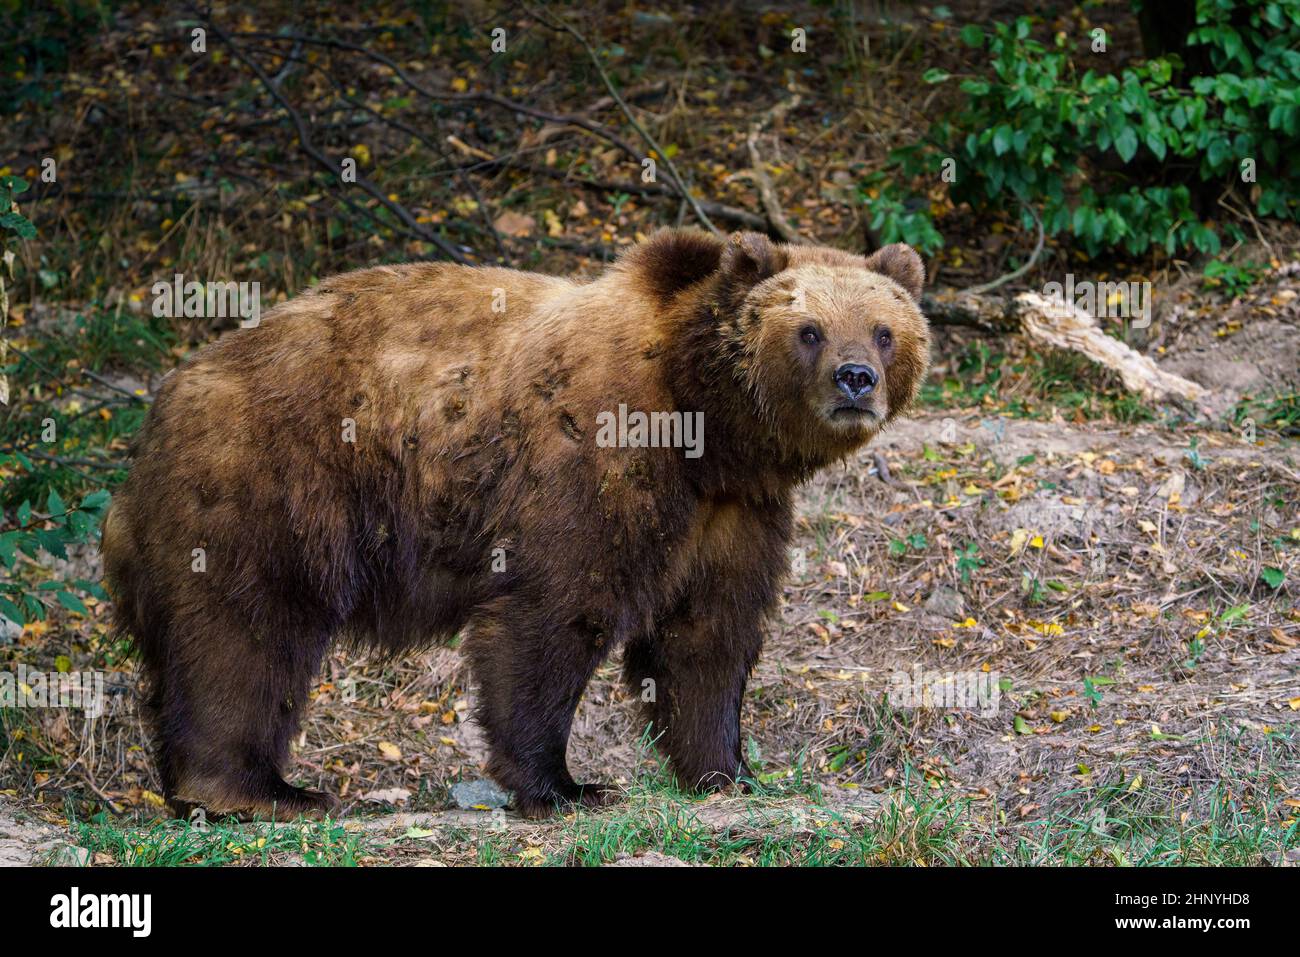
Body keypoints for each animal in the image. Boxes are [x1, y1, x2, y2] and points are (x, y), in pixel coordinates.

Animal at [104, 227, 935, 816]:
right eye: (810, 329)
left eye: (883, 328)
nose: (856, 379)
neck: (708, 423)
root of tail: (165, 401)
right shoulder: (598, 457)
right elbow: (555, 613)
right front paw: (565, 784)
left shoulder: (731, 512)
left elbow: (708, 633)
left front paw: (730, 770)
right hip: (276, 486)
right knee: (245, 634)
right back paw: (258, 788)